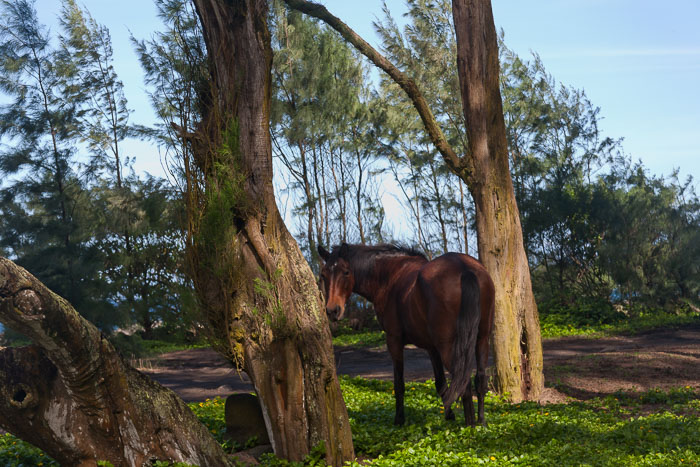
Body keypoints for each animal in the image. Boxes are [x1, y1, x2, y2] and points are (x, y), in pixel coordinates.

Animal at [318, 245, 492, 428]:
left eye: (346, 272)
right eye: (323, 275)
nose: (332, 310)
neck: (389, 277)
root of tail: (463, 268)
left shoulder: (394, 341)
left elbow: (399, 384)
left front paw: (399, 419)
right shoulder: (432, 348)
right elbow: (441, 383)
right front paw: (449, 415)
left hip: (449, 347)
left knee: (463, 383)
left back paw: (470, 425)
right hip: (481, 340)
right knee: (479, 379)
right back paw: (481, 422)